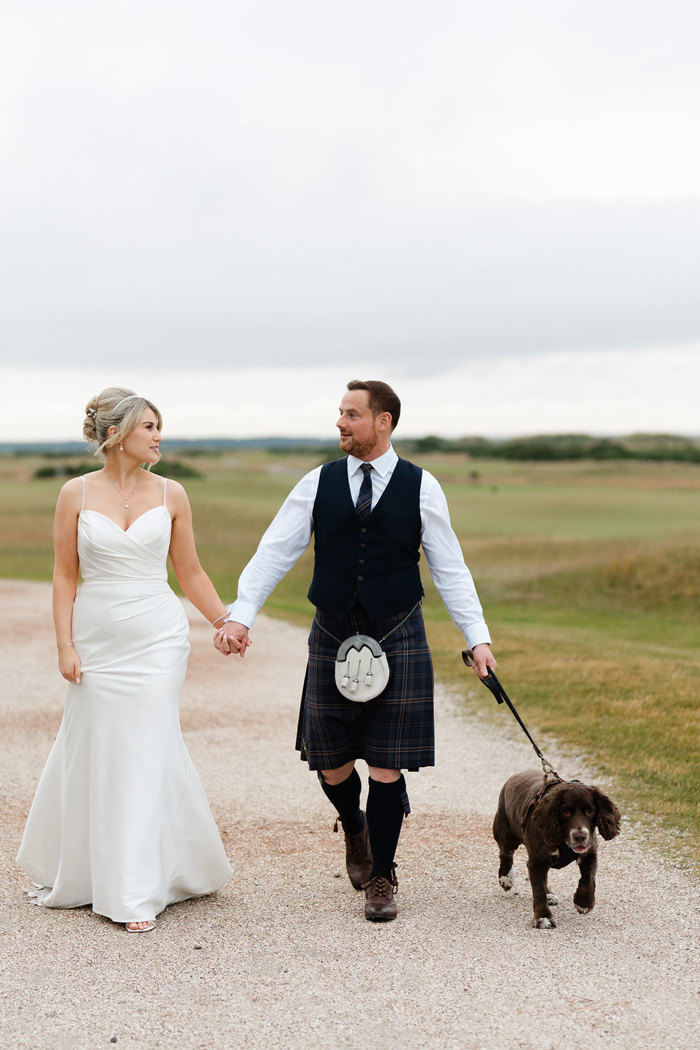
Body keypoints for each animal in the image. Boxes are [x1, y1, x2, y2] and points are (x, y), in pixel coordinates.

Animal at [495, 772, 621, 928]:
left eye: (590, 811)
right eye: (565, 812)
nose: (580, 836)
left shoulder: (589, 852)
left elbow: (588, 879)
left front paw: (583, 903)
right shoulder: (536, 861)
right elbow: (538, 891)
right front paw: (543, 918)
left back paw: (549, 895)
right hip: (505, 833)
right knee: (506, 854)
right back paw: (506, 879)